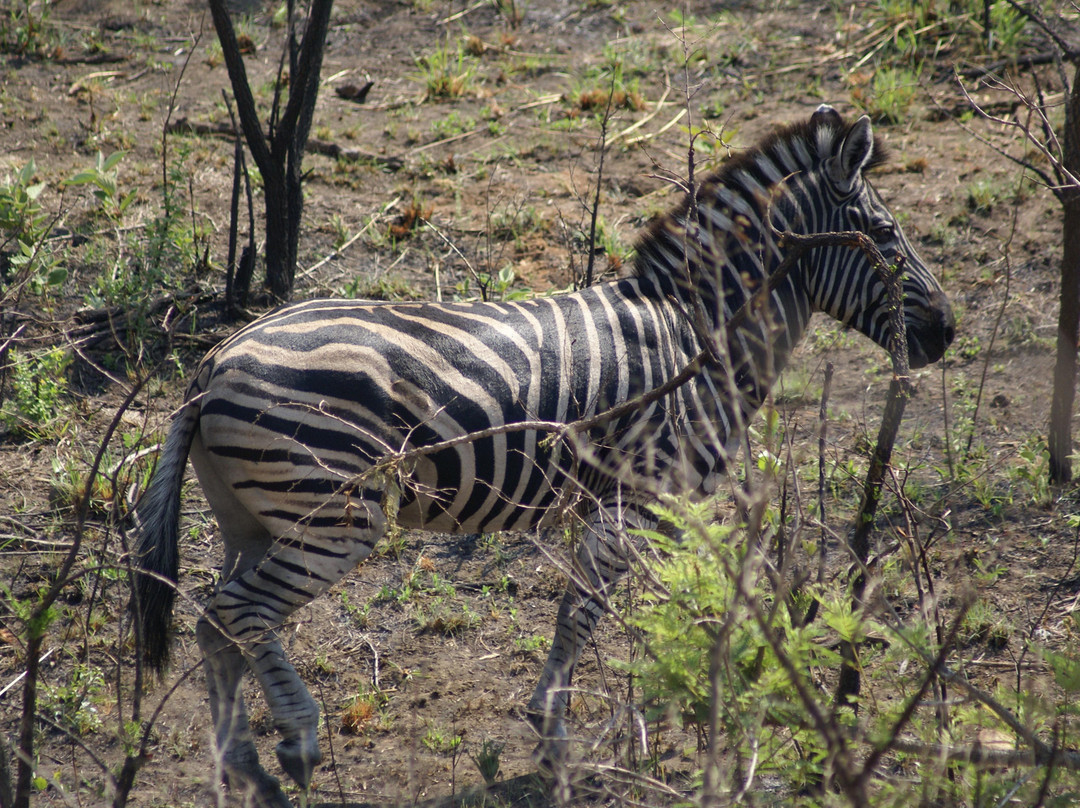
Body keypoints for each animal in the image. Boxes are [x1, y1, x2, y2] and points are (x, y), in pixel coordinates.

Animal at [132, 107, 954, 808]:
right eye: (886, 233)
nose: (946, 332)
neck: (699, 330)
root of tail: (213, 364)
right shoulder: (638, 495)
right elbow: (583, 614)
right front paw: (559, 741)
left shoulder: (614, 502)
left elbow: (617, 611)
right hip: (333, 511)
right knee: (237, 613)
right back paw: (297, 743)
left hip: (252, 518)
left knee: (218, 626)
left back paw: (247, 771)